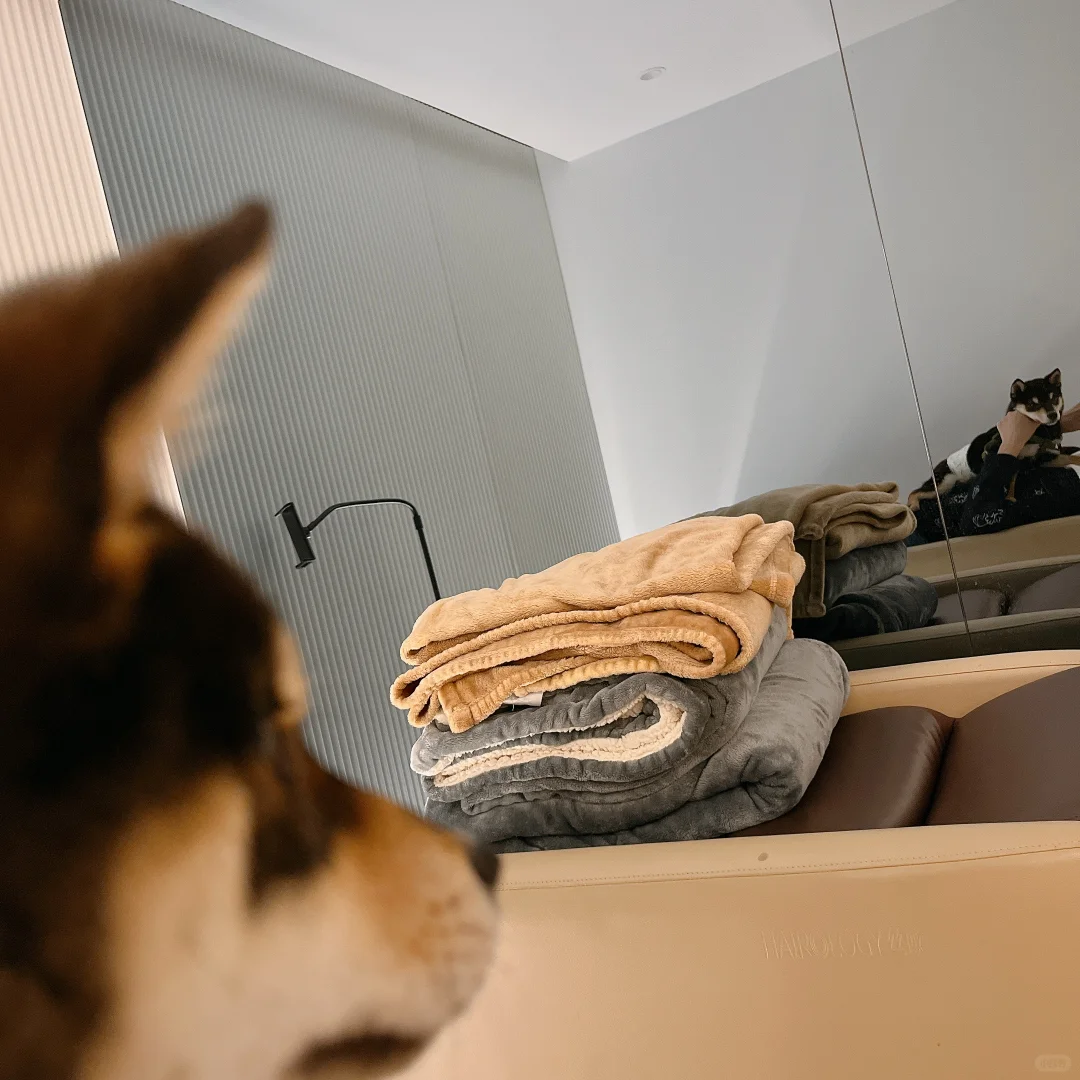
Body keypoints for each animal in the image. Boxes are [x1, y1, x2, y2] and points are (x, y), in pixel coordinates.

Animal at [907, 368, 1074, 509]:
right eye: (1032, 404)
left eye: (1054, 398)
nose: (1053, 415)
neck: (1039, 432)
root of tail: (939, 465)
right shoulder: (1007, 456)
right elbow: (1009, 480)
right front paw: (1010, 498)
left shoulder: (1040, 458)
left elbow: (1065, 459)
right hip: (942, 484)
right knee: (914, 492)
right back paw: (913, 505)